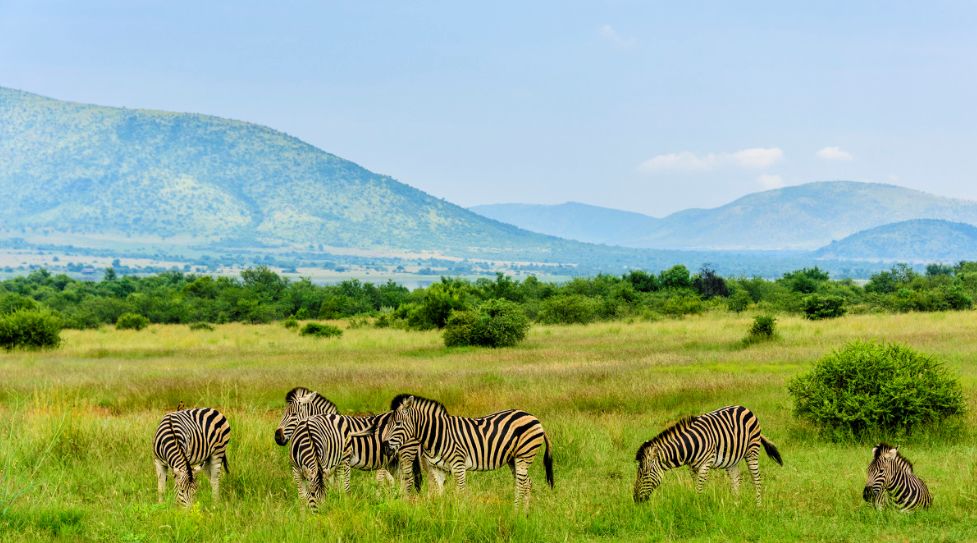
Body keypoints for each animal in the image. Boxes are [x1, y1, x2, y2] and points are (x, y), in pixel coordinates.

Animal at [272, 386, 422, 492]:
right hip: (393, 460)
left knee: (408, 480)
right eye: (283, 413)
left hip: (406, 454)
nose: (277, 437)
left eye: (293, 415)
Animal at [370, 394, 552, 512]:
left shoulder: (458, 465)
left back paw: (515, 513)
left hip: (523, 456)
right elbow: (439, 492)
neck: (437, 435)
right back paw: (525, 514)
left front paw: (462, 514)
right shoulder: (438, 468)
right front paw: (441, 515)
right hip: (513, 460)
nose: (384, 447)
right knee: (527, 483)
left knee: (521, 484)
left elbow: (461, 492)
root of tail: (533, 417)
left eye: (398, 424)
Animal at [628, 404, 780, 506]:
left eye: (644, 474)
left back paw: (758, 505)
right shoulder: (692, 467)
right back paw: (735, 505)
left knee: (756, 478)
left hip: (752, 451)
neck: (689, 447)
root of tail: (744, 408)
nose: (636, 499)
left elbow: (699, 487)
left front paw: (698, 507)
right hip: (732, 459)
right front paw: (698, 504)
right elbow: (696, 485)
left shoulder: (706, 463)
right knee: (736, 478)